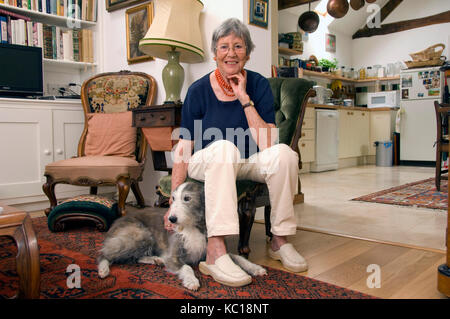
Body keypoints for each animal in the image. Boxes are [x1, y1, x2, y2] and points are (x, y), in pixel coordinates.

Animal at [97, 181, 268, 292]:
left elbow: (238, 257)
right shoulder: (173, 256)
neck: (191, 226)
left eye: (187, 198)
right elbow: (186, 267)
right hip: (140, 235)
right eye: (173, 198)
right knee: (105, 253)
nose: (171, 219)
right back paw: (103, 269)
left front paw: (256, 268)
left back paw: (155, 260)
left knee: (134, 257)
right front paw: (192, 281)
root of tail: (115, 222)